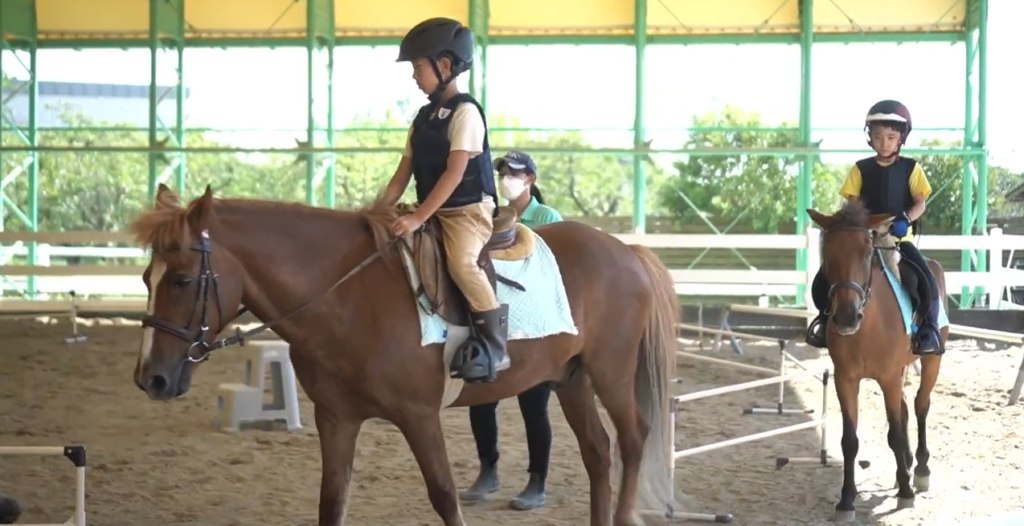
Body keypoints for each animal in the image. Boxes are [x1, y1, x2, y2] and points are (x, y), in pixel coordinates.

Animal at [128, 184, 680, 526]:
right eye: (146, 279)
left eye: (182, 280)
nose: (151, 379)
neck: (348, 296)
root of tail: (626, 251)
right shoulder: (336, 418)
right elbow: (332, 500)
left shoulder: (419, 416)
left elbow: (444, 496)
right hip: (571, 378)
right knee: (598, 452)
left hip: (610, 372)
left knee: (632, 440)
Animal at [806, 200, 946, 523]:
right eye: (828, 254)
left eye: (867, 252)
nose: (846, 317)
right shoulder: (846, 379)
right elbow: (849, 440)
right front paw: (846, 500)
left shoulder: (888, 378)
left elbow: (894, 433)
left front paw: (906, 493)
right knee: (906, 408)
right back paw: (904, 465)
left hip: (930, 363)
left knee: (920, 405)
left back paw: (920, 469)